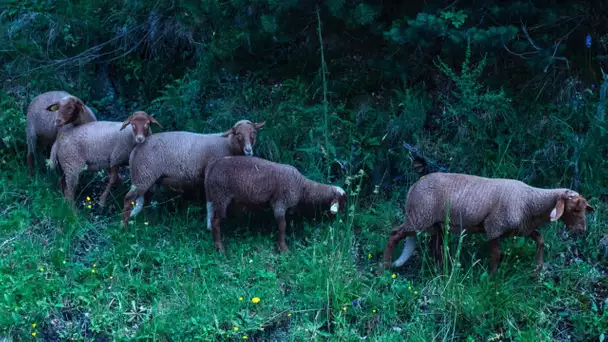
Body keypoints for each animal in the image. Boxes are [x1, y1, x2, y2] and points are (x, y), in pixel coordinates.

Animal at [122, 118, 264, 227]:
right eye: (238, 135)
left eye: (254, 133)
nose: (248, 150)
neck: (227, 145)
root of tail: (135, 150)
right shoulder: (209, 175)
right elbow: (210, 203)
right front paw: (209, 225)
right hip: (143, 173)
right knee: (129, 199)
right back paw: (124, 226)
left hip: (146, 177)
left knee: (142, 200)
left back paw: (141, 220)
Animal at [204, 156, 346, 252]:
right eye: (342, 203)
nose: (339, 220)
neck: (302, 187)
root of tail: (212, 166)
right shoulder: (280, 203)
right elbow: (282, 226)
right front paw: (283, 249)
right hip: (221, 196)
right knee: (216, 221)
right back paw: (219, 247)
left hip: (213, 197)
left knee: (211, 217)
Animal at [380, 172, 592, 274]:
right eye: (574, 209)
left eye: (584, 209)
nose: (582, 231)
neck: (529, 202)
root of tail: (414, 186)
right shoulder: (494, 226)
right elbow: (496, 255)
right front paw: (492, 278)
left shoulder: (521, 229)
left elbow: (540, 239)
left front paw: (538, 269)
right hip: (419, 216)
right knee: (394, 234)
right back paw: (384, 266)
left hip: (434, 223)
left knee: (436, 247)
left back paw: (441, 269)